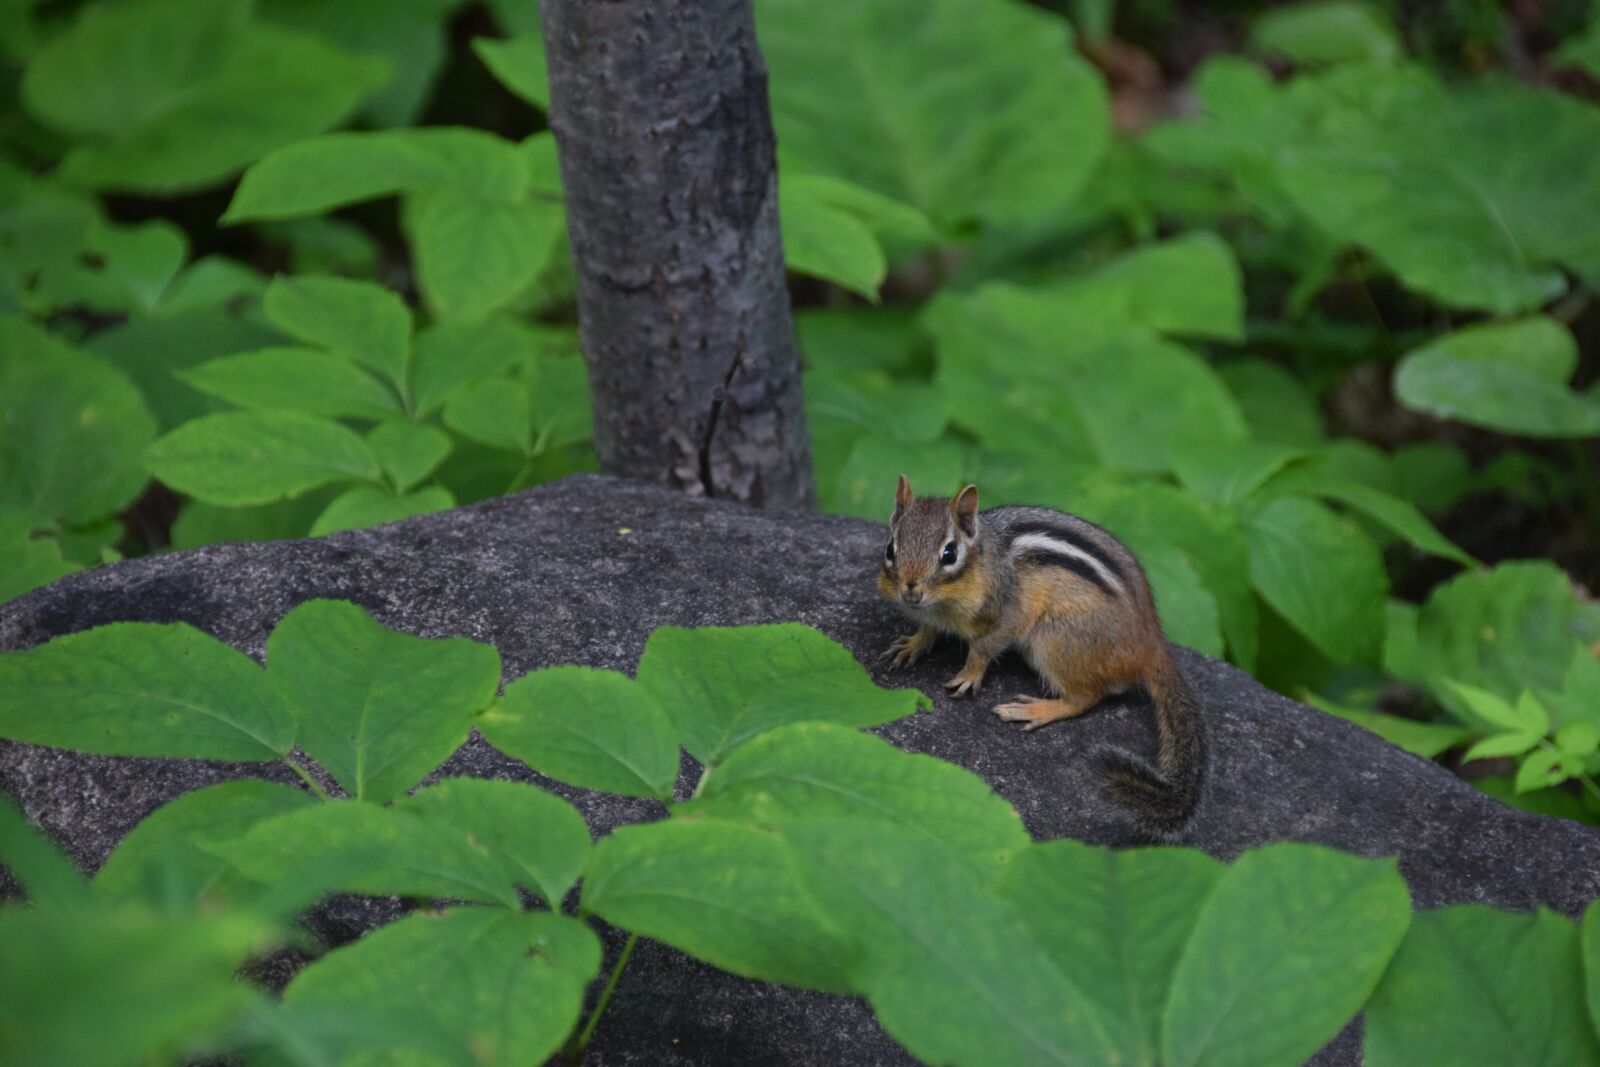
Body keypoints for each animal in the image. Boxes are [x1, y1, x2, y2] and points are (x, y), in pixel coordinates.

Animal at [877, 475, 1206, 836]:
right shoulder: (929, 615)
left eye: (949, 554)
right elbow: (927, 631)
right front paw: (911, 645)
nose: (910, 589)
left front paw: (969, 674)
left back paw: (1036, 710)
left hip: (1054, 641)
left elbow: (984, 647)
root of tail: (1151, 644)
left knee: (1087, 698)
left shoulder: (1010, 613)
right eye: (890, 549)